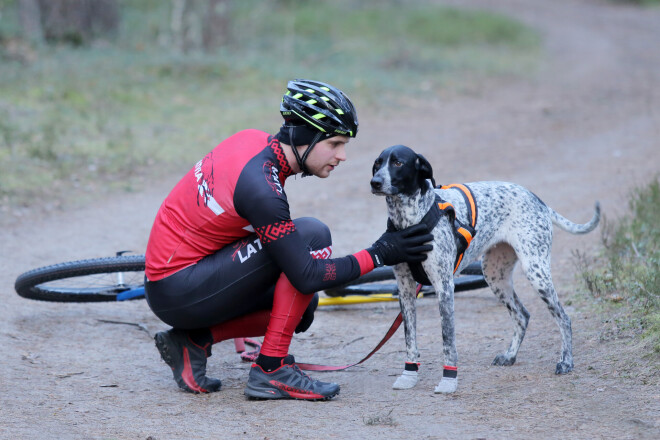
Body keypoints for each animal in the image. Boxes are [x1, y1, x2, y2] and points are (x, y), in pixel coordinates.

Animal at [368, 145, 600, 396]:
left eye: (398, 163)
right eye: (378, 163)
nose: (375, 182)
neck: (410, 221)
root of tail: (538, 201)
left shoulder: (444, 288)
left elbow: (448, 342)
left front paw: (448, 380)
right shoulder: (406, 290)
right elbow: (410, 339)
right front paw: (408, 376)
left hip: (536, 272)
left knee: (564, 318)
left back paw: (566, 361)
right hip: (494, 275)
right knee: (522, 315)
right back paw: (510, 355)